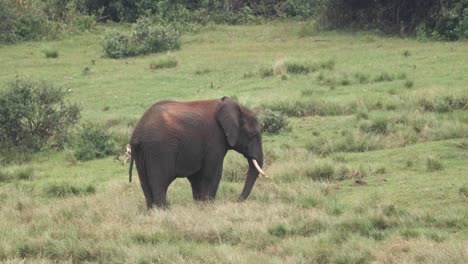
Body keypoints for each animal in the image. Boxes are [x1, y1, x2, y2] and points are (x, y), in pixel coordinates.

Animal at [129, 96, 266, 208]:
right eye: (253, 135)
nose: (236, 201)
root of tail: (137, 134)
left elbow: (196, 177)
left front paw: (200, 205)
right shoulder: (214, 140)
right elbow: (213, 172)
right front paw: (208, 205)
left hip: (141, 154)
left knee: (145, 184)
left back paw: (152, 211)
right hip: (158, 150)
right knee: (160, 184)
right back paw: (164, 210)